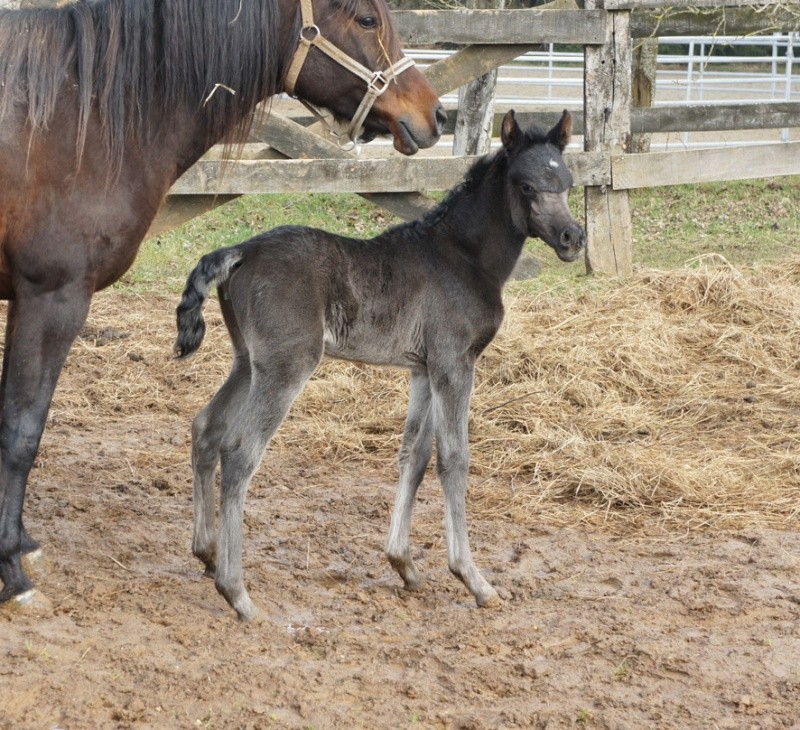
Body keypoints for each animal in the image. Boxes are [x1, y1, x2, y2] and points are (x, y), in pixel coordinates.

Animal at [175, 109, 584, 620]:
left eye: (567, 181)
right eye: (527, 185)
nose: (573, 237)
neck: (464, 257)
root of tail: (239, 251)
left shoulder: (423, 369)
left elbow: (415, 455)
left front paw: (403, 564)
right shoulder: (455, 363)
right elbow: (454, 459)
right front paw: (473, 579)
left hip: (248, 362)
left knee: (205, 428)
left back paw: (206, 554)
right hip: (286, 366)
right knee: (239, 453)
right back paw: (237, 593)